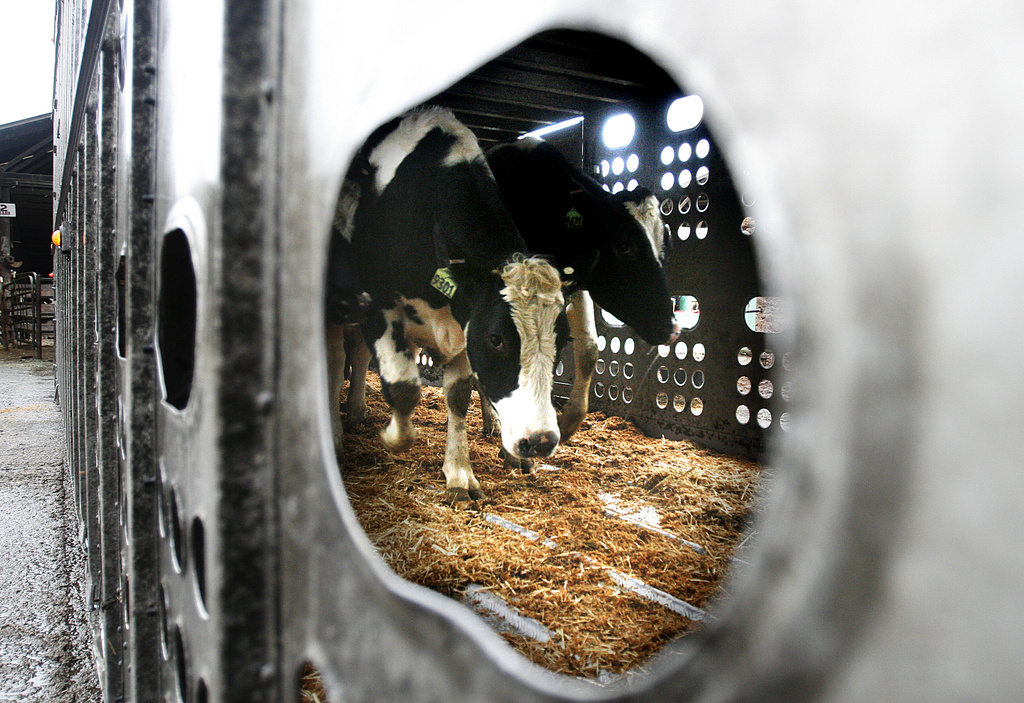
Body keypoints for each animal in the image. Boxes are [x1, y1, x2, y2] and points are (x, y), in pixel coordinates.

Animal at [325, 107, 569, 503]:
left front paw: (459, 474)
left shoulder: (463, 325)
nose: (541, 441)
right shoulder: (376, 308)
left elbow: (457, 396)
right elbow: (404, 388)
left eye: (561, 341)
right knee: (336, 361)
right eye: (497, 338)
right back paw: (336, 431)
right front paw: (394, 437)